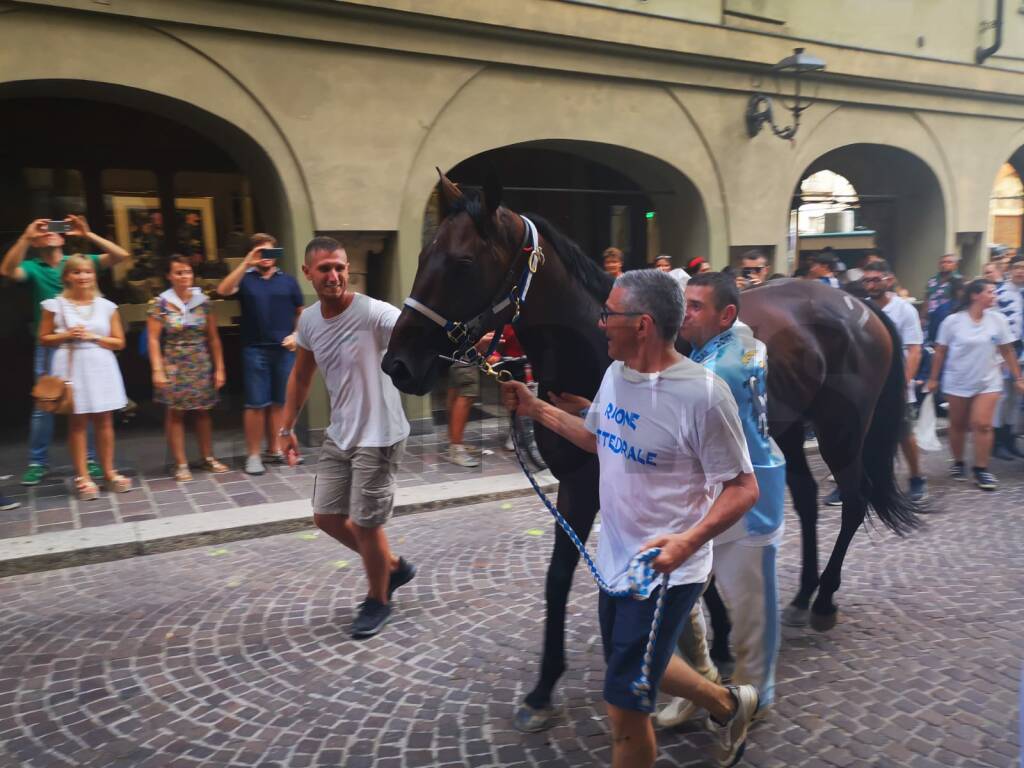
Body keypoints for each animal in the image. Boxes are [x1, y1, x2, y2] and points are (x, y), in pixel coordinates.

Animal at [382, 171, 921, 729]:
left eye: (464, 261)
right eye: (423, 254)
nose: (398, 362)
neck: (598, 353)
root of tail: (862, 303)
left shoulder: (624, 480)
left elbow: (689, 555)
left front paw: (712, 640)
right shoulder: (579, 482)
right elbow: (560, 576)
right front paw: (544, 686)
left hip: (842, 432)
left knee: (854, 501)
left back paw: (824, 599)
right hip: (789, 431)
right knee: (810, 499)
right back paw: (800, 595)